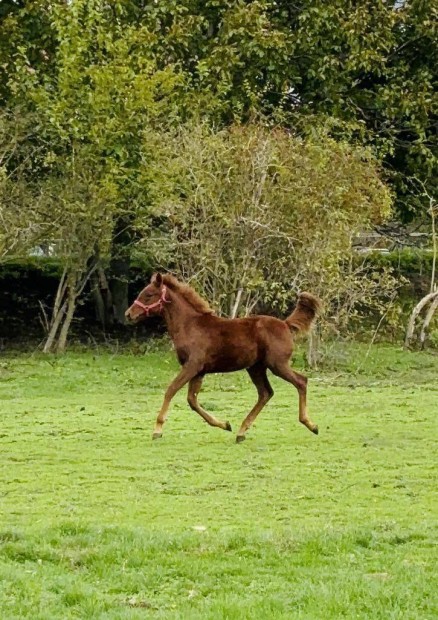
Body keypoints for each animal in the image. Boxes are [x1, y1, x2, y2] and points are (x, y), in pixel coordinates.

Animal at [125, 274, 320, 444]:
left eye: (149, 294)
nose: (128, 314)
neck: (190, 326)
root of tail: (285, 325)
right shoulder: (199, 371)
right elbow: (192, 401)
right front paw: (225, 425)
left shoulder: (192, 366)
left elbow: (171, 390)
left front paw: (157, 430)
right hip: (256, 368)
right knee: (266, 393)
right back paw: (241, 432)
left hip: (277, 365)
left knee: (301, 381)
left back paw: (311, 425)